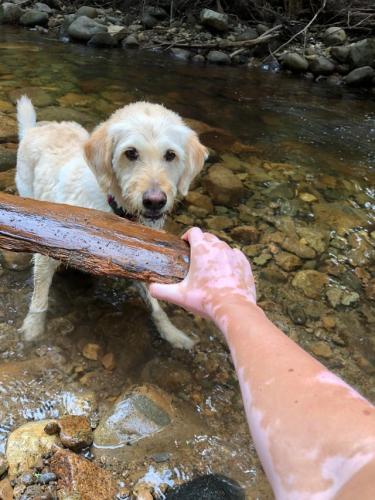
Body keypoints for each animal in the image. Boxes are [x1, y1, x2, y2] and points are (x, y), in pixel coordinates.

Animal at [15, 95, 209, 350]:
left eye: (170, 155)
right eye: (131, 153)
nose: (155, 202)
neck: (115, 209)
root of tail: (33, 129)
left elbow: (156, 307)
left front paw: (173, 333)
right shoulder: (48, 247)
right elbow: (39, 298)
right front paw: (33, 329)